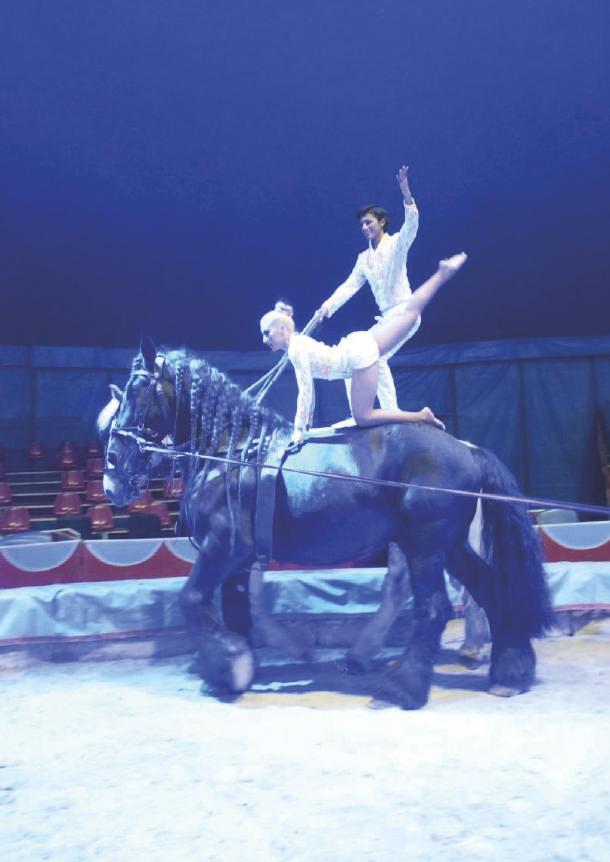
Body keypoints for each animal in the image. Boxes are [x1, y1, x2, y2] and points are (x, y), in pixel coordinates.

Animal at [100, 336, 552, 709]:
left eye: (136, 388)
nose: (111, 473)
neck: (233, 454)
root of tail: (466, 448)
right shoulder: (241, 560)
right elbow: (237, 612)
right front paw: (229, 670)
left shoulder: (223, 547)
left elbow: (192, 599)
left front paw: (230, 664)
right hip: (450, 545)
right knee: (490, 589)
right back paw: (509, 670)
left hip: (425, 545)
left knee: (433, 608)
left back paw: (402, 687)